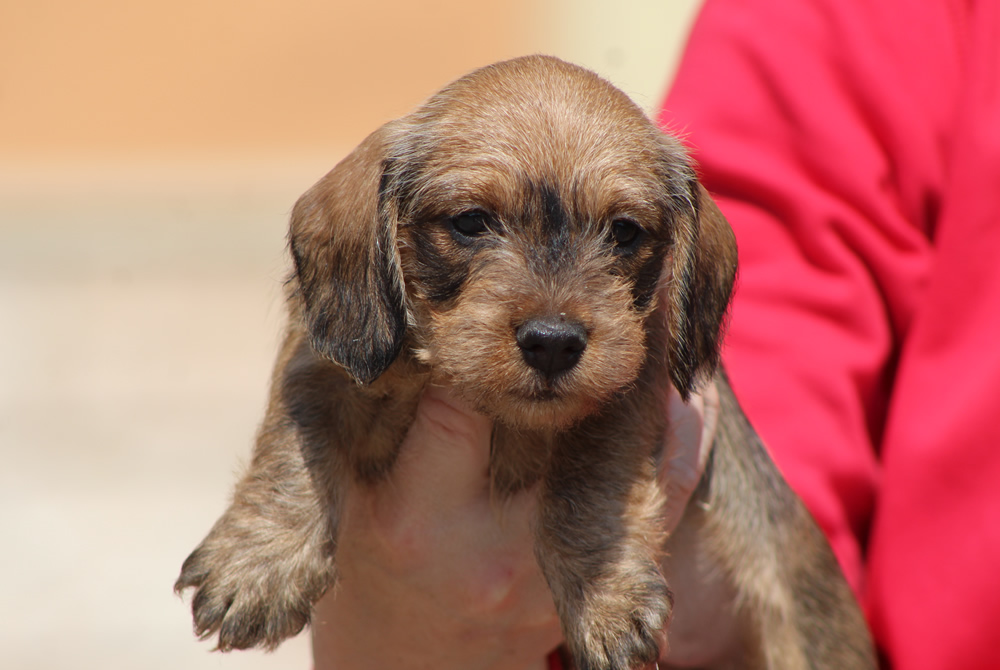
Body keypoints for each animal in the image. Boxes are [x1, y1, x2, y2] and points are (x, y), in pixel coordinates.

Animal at [178, 55, 876, 668]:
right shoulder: (318, 369)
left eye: (624, 231)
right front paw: (256, 566)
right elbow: (292, 451)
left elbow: (585, 482)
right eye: (470, 222)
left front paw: (604, 593)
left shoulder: (627, 387)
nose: (553, 342)